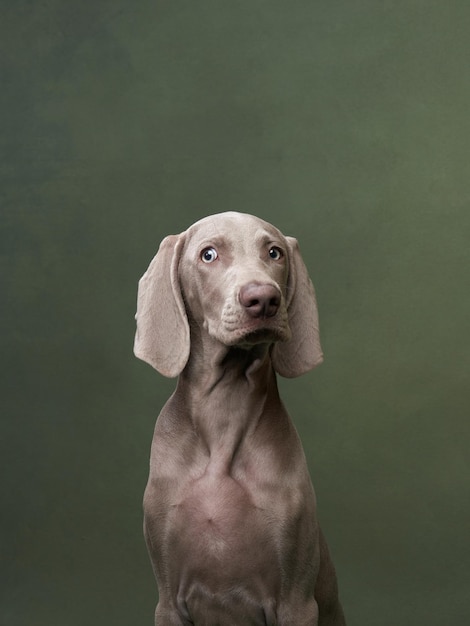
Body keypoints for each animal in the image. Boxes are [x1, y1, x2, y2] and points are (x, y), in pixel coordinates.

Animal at [133, 212, 346, 620]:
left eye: (275, 252)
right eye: (208, 254)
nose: (263, 299)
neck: (225, 408)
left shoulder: (296, 600)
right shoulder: (167, 600)